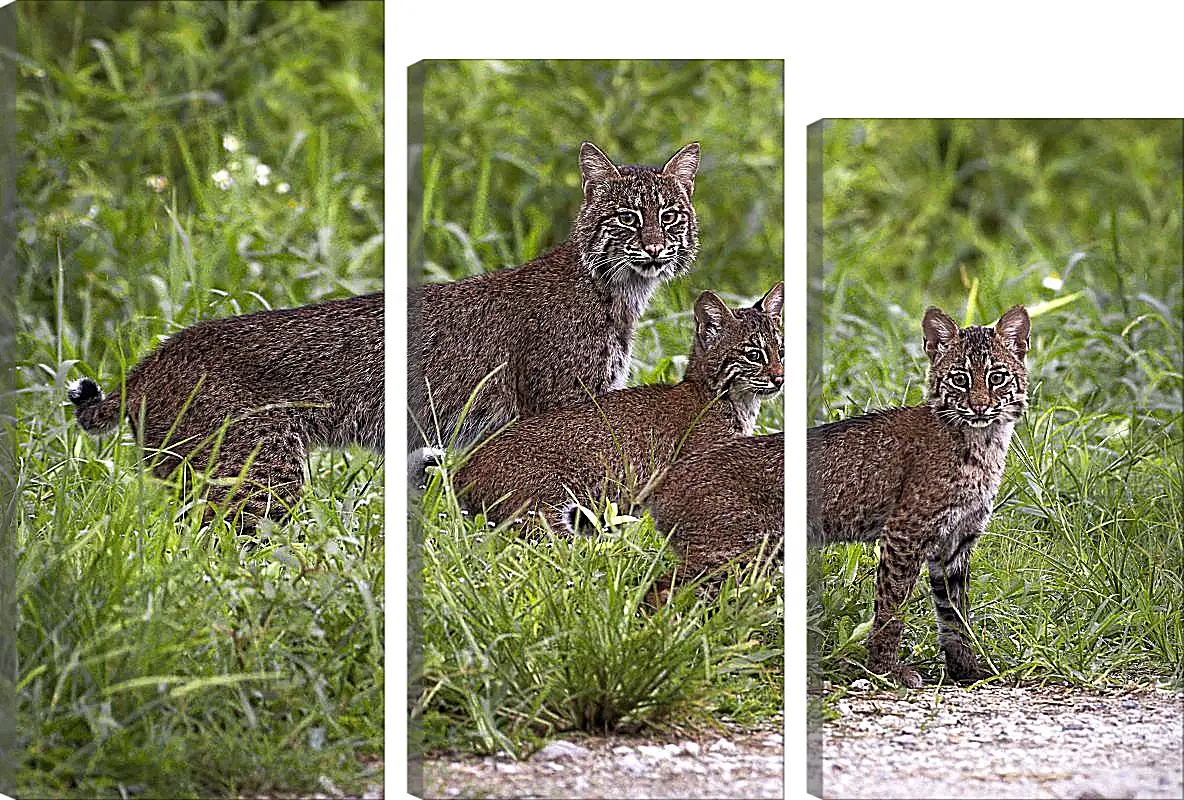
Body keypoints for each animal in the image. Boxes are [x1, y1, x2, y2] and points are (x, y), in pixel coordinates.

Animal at [447, 282, 781, 530]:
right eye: (754, 355)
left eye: (782, 351)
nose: (780, 378)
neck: (736, 402)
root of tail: (463, 466)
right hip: (546, 506)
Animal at [809, 302, 1032, 686]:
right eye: (960, 379)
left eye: (996, 377)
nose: (979, 407)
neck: (984, 440)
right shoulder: (905, 532)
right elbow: (892, 605)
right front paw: (885, 669)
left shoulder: (956, 540)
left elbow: (954, 613)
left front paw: (966, 670)